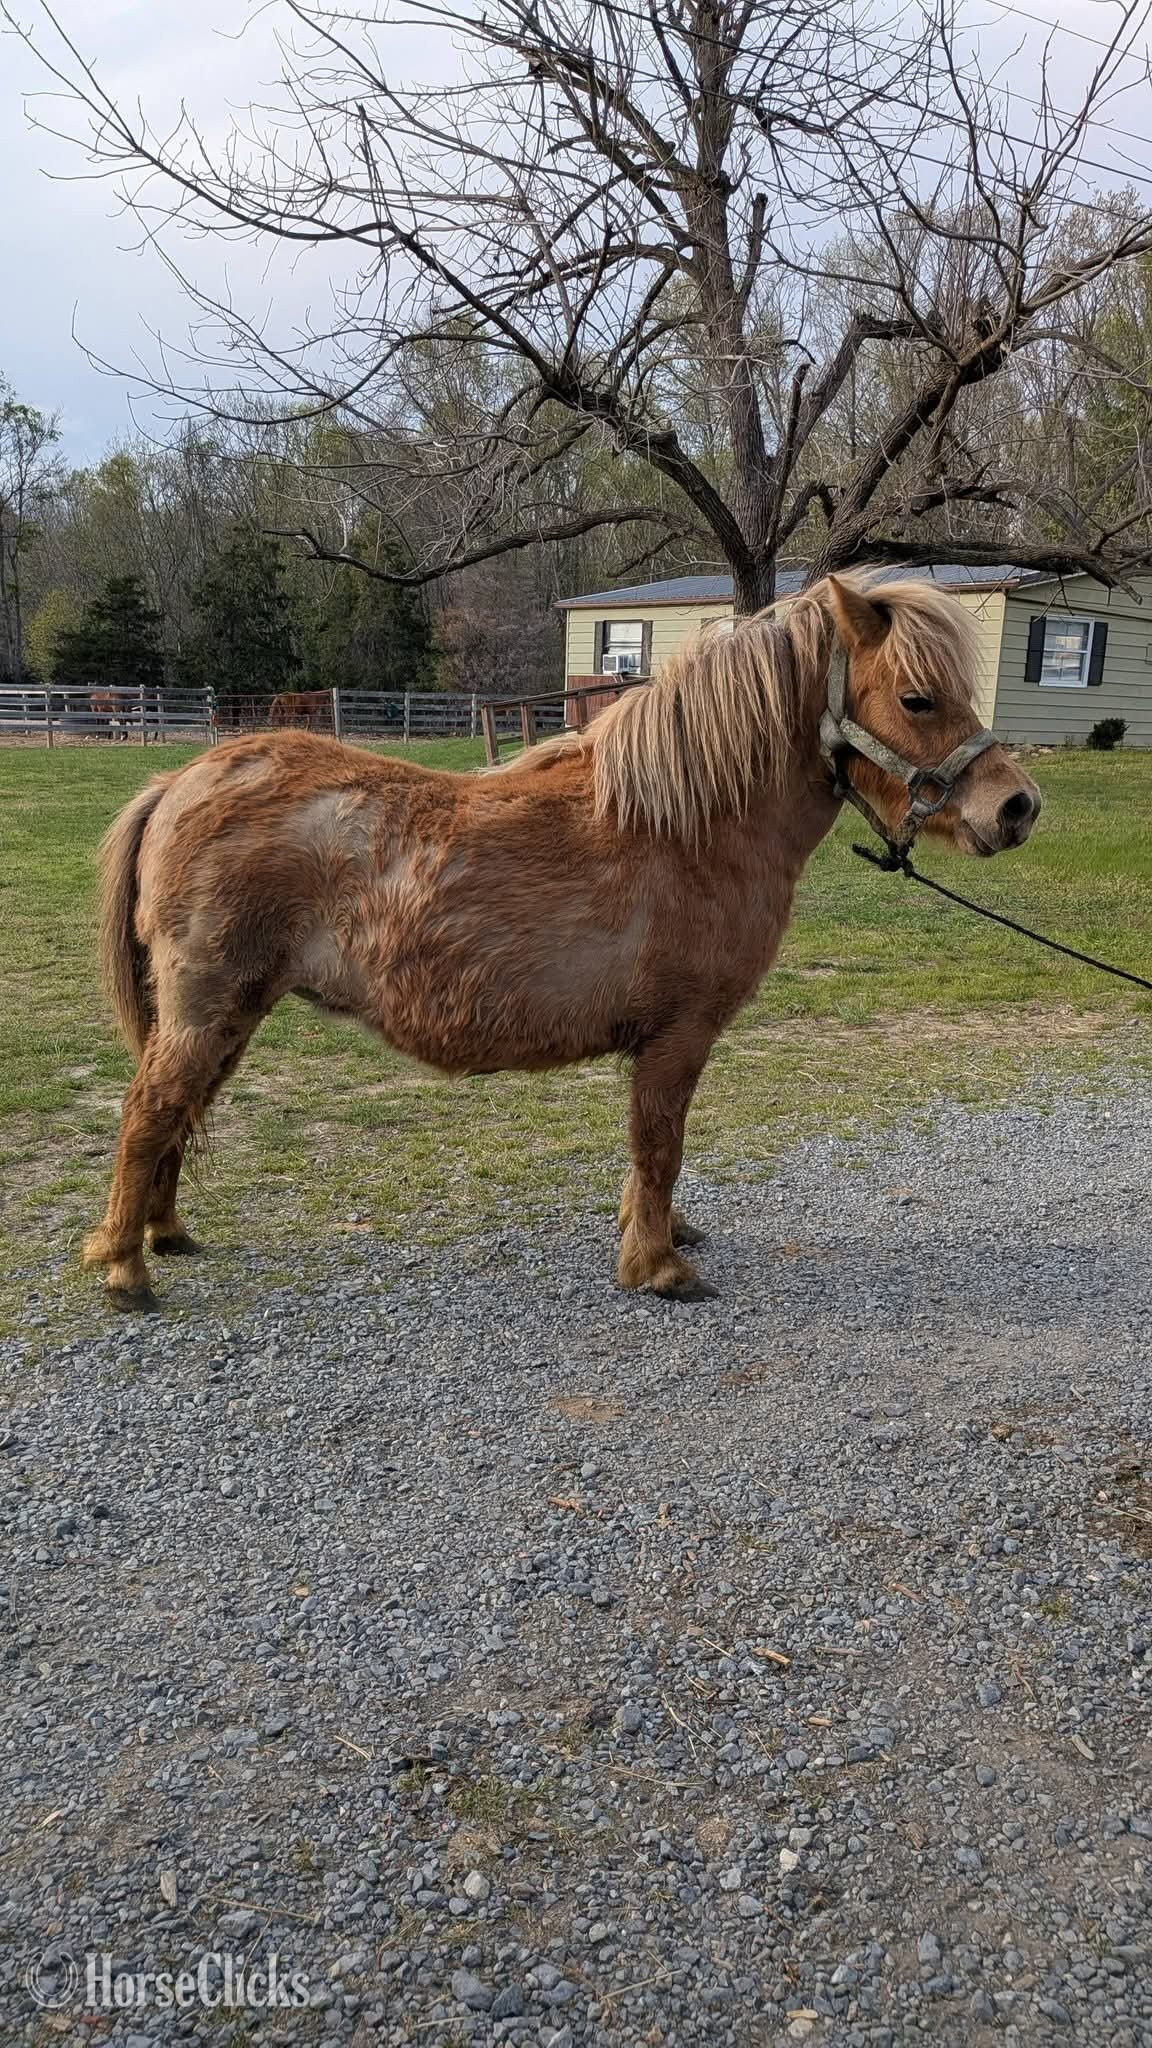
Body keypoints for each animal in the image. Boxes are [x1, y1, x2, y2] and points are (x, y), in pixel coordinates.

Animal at [82, 574, 1041, 1312]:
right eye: (917, 698)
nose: (1017, 807)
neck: (689, 826)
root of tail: (181, 778)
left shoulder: (662, 1044)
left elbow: (650, 1152)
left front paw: (651, 1232)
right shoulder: (678, 1038)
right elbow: (660, 1144)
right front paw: (657, 1266)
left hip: (228, 1017)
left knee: (176, 1115)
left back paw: (164, 1234)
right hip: (208, 1010)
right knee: (148, 1113)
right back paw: (125, 1268)